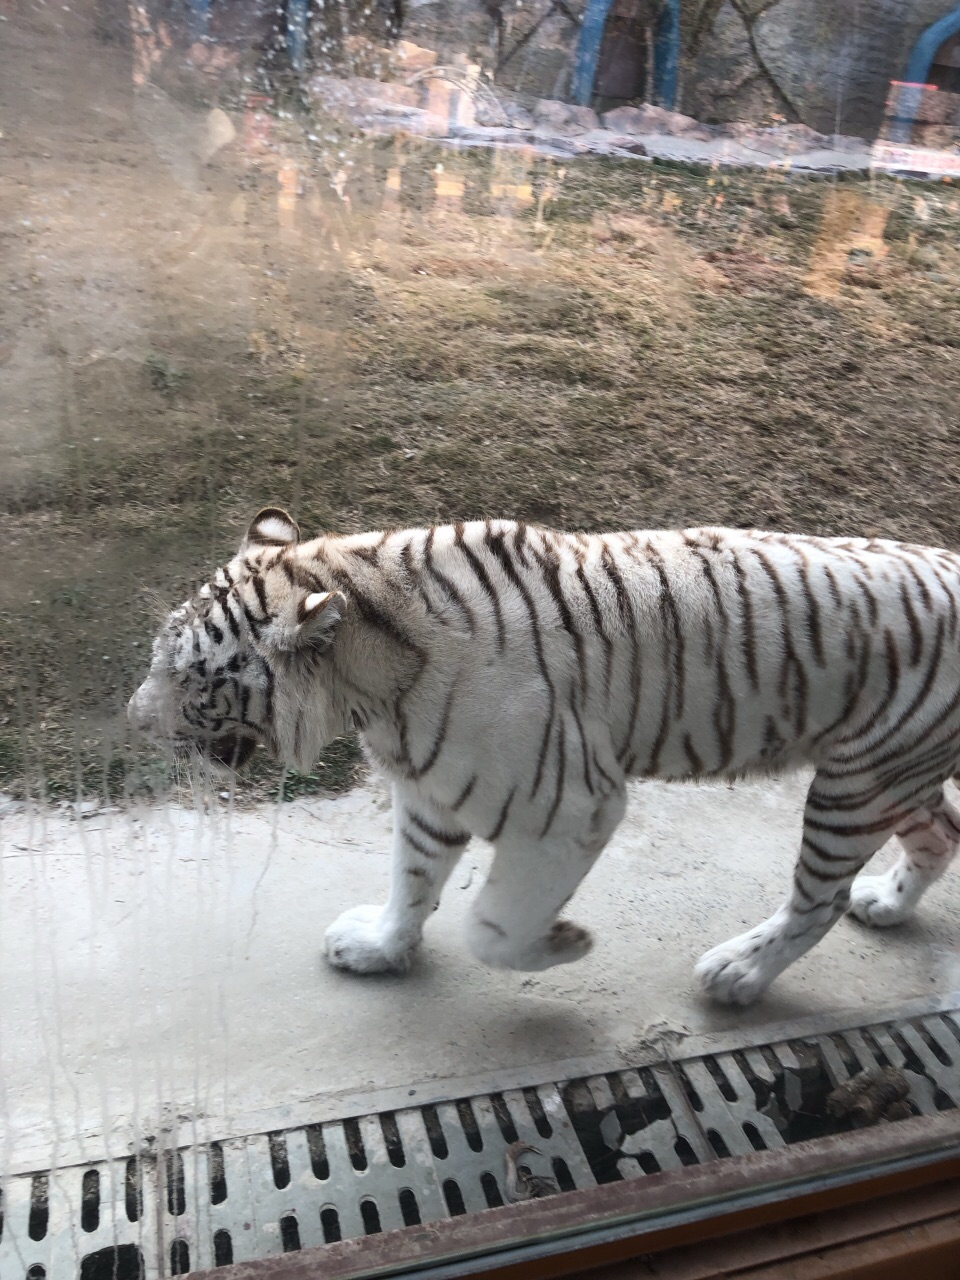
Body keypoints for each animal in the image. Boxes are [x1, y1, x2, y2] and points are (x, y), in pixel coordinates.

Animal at [128, 504, 960, 1003]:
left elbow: (491, 926)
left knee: (817, 903)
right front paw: (380, 948)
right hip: (891, 772)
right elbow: (411, 880)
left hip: (856, 783)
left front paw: (564, 942)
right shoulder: (427, 794)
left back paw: (740, 972)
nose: (134, 721)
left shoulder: (572, 807)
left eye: (192, 678)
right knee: (940, 835)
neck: (375, 684)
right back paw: (886, 904)